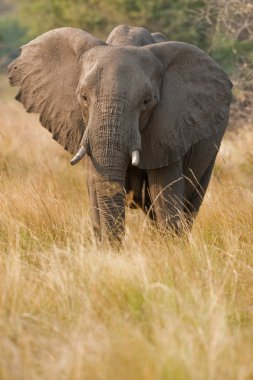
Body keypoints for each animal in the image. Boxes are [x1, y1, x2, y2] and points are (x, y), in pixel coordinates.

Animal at [7, 25, 232, 242]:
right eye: (83, 97)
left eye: (146, 101)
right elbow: (95, 188)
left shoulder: (168, 130)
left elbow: (164, 192)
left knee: (189, 203)